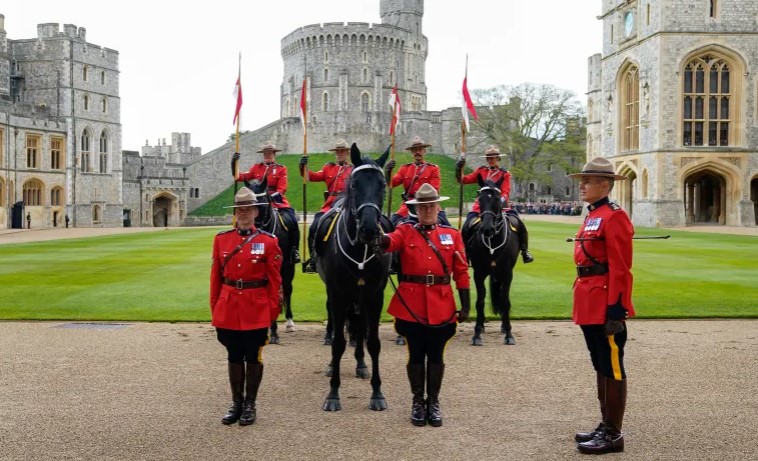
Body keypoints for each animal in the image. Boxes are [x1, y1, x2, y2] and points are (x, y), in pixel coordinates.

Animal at [248, 176, 298, 342]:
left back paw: (289, 322)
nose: (253, 226)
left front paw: (274, 331)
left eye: (263, 200)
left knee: (287, 288)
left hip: (289, 265)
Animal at [314, 143, 392, 410]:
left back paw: (361, 364)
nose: (368, 229)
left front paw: (377, 393)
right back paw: (332, 365)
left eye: (382, 184)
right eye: (355, 184)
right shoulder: (338, 295)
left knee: (359, 328)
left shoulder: (374, 295)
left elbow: (373, 342)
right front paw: (333, 393)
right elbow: (338, 342)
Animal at [464, 176, 524, 344]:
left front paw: (509, 334)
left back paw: (504, 326)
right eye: (480, 197)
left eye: (497, 198)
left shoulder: (507, 273)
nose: (487, 229)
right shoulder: (478, 273)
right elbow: (480, 301)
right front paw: (477, 333)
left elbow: (505, 300)